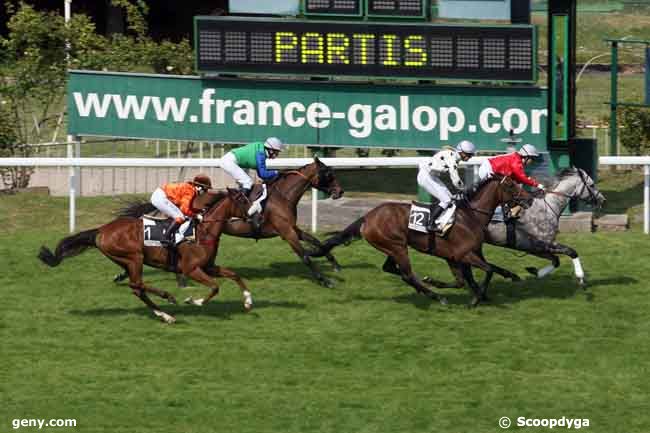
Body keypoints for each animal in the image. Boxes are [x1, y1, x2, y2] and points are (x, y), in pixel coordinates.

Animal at [37, 187, 251, 322]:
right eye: (242, 200)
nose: (253, 216)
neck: (204, 231)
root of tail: (101, 231)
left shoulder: (209, 267)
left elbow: (234, 275)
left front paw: (248, 301)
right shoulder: (191, 269)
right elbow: (215, 287)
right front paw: (193, 300)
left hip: (126, 261)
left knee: (137, 288)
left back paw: (165, 315)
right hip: (134, 257)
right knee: (136, 284)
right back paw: (167, 297)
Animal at [119, 157, 346, 288]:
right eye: (328, 173)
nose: (340, 191)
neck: (283, 196)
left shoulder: (292, 228)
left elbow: (317, 241)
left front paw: (335, 265)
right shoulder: (286, 231)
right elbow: (304, 255)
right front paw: (324, 281)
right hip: (181, 216)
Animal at [308, 176, 532, 308]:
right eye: (511, 185)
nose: (529, 199)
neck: (470, 217)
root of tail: (367, 217)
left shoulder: (457, 256)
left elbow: (469, 278)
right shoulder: (463, 254)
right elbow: (488, 270)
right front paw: (476, 298)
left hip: (393, 247)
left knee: (392, 269)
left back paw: (428, 290)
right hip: (397, 247)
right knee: (406, 274)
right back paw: (436, 296)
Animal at [426, 167, 604, 292]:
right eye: (592, 184)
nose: (602, 199)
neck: (549, 207)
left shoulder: (531, 247)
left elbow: (556, 260)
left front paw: (535, 272)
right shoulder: (542, 243)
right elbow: (571, 252)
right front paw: (580, 277)